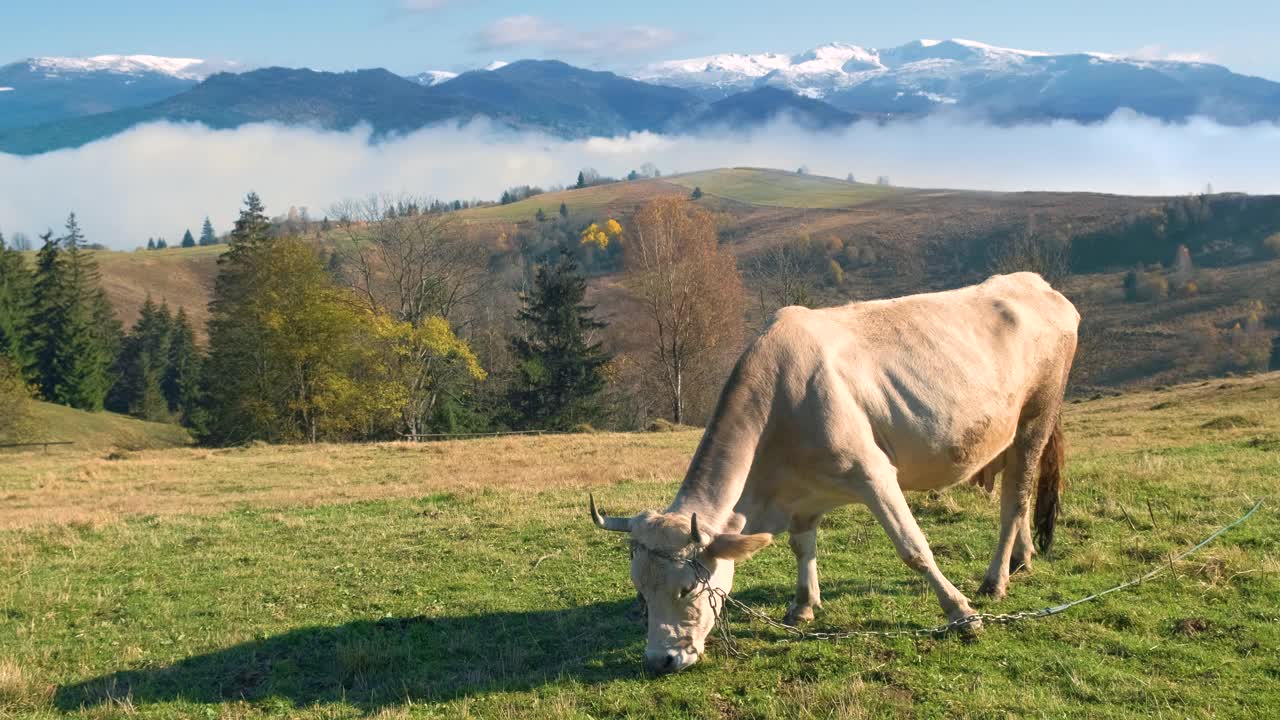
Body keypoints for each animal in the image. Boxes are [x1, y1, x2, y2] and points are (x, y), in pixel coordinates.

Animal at [588, 270, 1080, 671]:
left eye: (688, 590)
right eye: (640, 591)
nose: (660, 660)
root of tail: (1036, 284)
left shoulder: (874, 474)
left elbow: (914, 548)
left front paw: (962, 615)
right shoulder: (801, 491)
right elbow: (802, 545)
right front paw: (803, 605)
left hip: (1035, 418)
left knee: (1015, 496)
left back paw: (995, 580)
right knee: (1021, 494)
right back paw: (1022, 559)